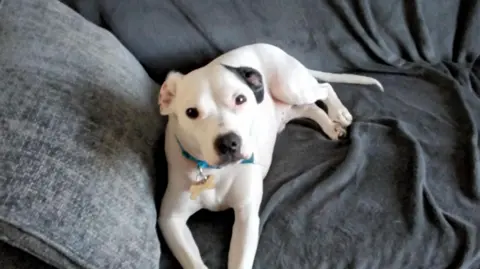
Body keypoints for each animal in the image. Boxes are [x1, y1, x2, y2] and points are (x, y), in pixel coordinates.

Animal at [158, 43, 382, 268]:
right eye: (191, 112)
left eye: (240, 99)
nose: (229, 143)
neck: (216, 172)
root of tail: (265, 45)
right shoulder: (170, 220)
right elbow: (192, 261)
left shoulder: (246, 215)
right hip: (288, 106)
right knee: (311, 108)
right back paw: (331, 126)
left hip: (292, 87)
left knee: (324, 88)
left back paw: (339, 113)